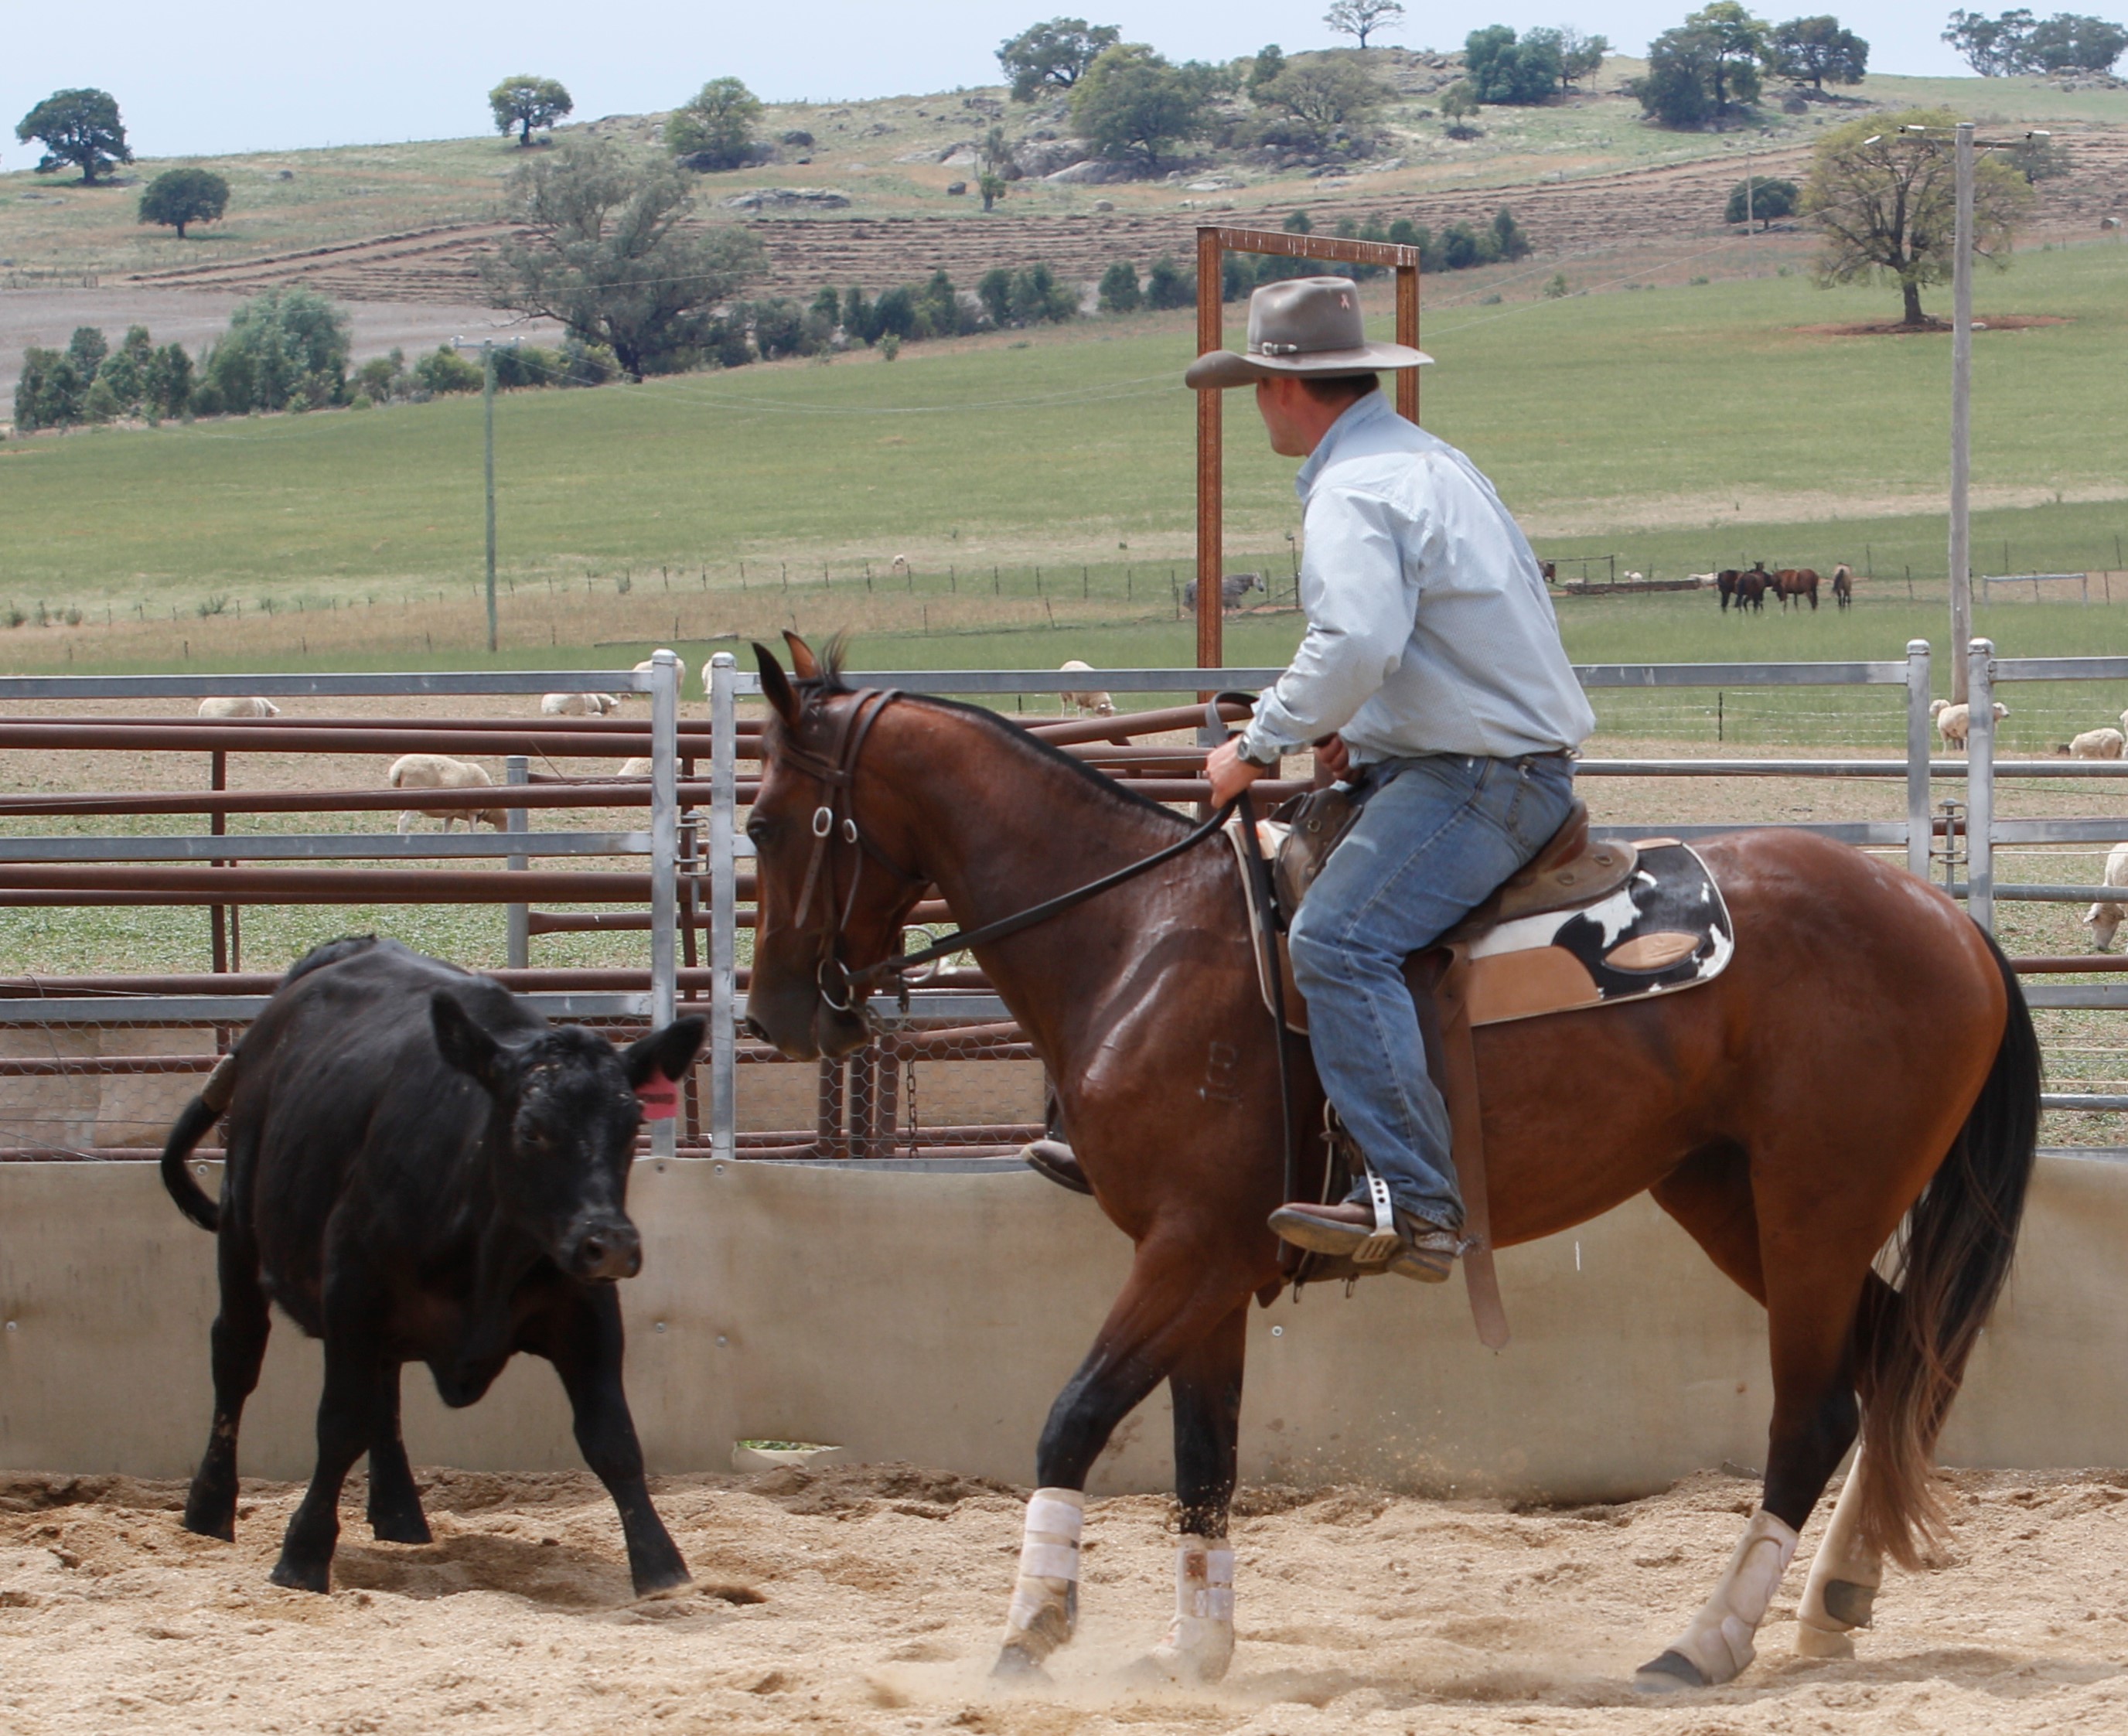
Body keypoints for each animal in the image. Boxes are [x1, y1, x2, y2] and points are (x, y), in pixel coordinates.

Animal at [160, 936, 706, 1597]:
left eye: (630, 1128)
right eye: (531, 1130)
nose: (612, 1243)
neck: (491, 1249)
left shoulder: (587, 1309)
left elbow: (613, 1437)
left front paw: (661, 1566)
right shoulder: (353, 1288)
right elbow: (339, 1422)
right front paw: (304, 1552)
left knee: (385, 1391)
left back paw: (400, 1514)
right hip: (241, 1232)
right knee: (237, 1358)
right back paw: (210, 1506)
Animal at [742, 632, 2037, 1694]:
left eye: (761, 823)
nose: (775, 1017)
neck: (1140, 934)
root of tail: (1949, 921)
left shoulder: (1187, 1248)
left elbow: (1073, 1417)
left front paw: (1034, 1628)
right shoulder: (1210, 1267)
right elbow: (1201, 1456)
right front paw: (1194, 1650)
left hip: (1815, 1206)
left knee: (1816, 1410)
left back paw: (1707, 1641)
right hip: (1724, 1192)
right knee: (1889, 1363)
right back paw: (1835, 1598)